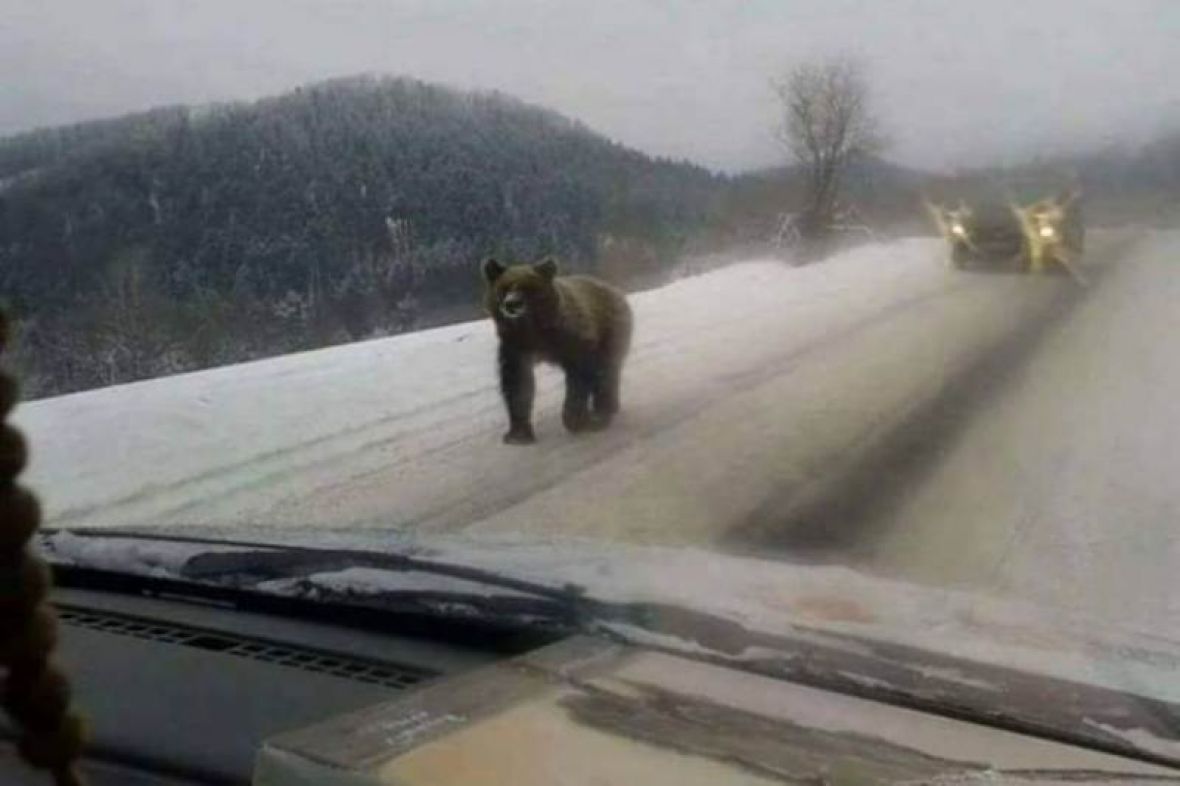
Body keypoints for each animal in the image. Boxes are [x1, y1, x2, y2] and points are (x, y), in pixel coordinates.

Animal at [479, 256, 632, 441]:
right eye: (503, 288)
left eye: (527, 287)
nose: (512, 304)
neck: (535, 331)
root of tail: (615, 290)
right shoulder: (516, 347)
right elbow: (517, 382)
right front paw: (518, 433)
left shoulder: (573, 339)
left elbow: (579, 376)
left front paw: (575, 419)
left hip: (611, 331)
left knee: (607, 370)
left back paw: (603, 410)